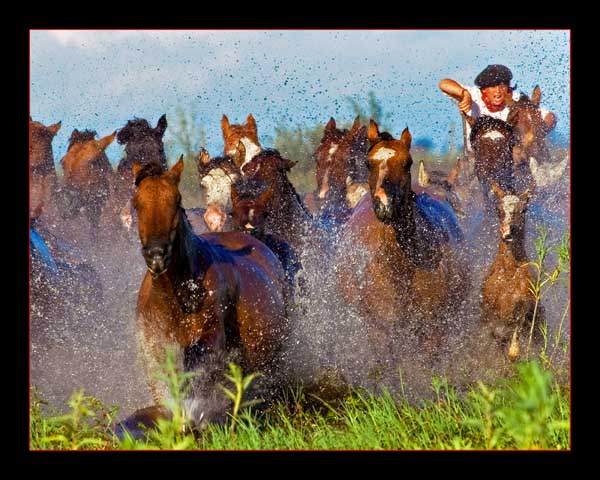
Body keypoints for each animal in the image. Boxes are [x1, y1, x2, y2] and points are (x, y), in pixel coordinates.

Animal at [126, 158, 288, 432]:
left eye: (177, 200)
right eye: (137, 203)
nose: (156, 255)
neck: (177, 296)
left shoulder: (210, 335)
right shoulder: (154, 343)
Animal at [336, 120, 466, 360]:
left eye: (408, 162)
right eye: (368, 163)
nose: (384, 204)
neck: (400, 268)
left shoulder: (433, 330)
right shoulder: (382, 331)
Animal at [478, 182, 544, 362]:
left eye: (524, 209)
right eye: (498, 209)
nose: (508, 233)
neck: (508, 276)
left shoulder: (521, 313)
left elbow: (513, 352)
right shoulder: (489, 315)